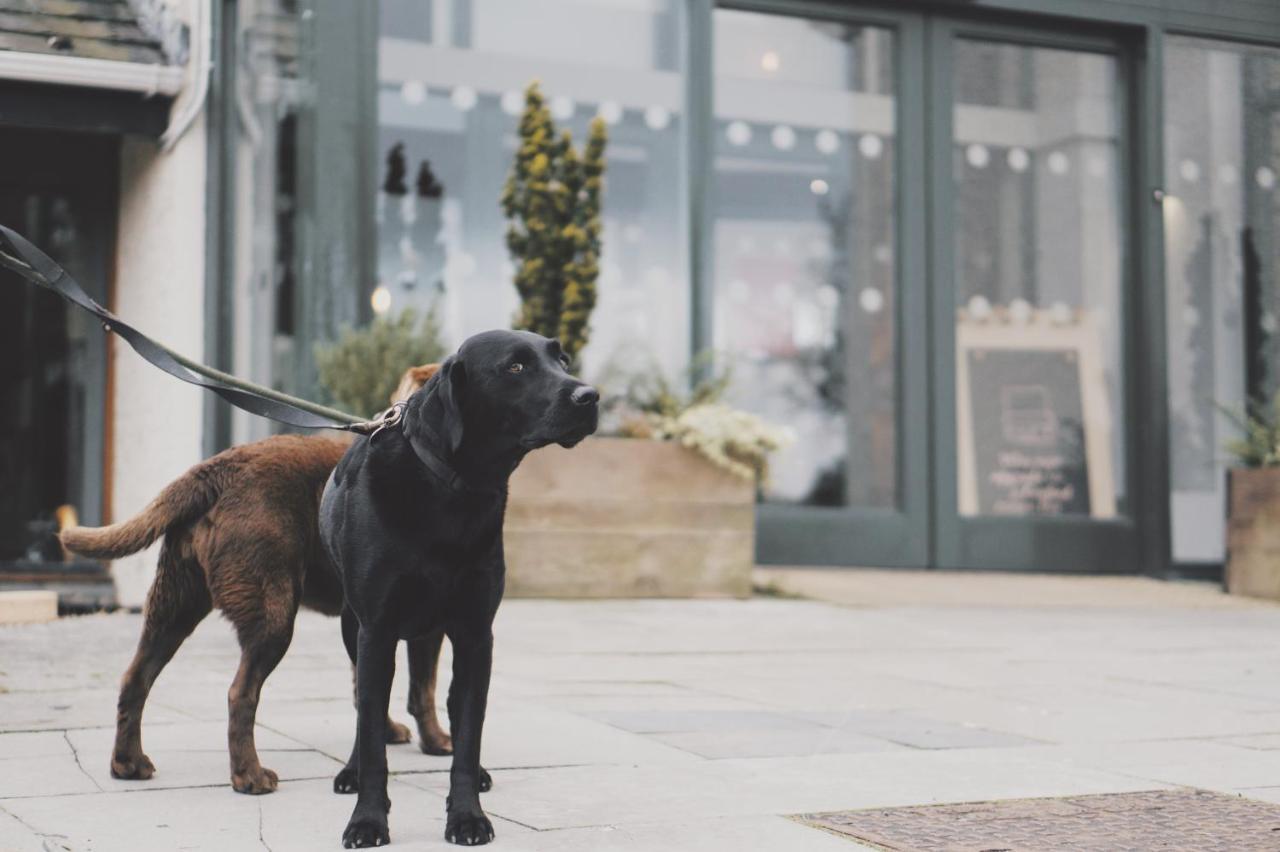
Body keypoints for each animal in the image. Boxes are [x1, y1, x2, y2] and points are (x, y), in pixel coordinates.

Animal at [62, 363, 448, 788]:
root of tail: (214, 471)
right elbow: (423, 688)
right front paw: (437, 742)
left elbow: (371, 687)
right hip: (272, 613)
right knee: (240, 693)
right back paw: (250, 776)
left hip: (173, 604)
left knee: (136, 679)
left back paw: (128, 763)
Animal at [320, 330, 599, 844]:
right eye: (515, 367)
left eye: (563, 359)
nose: (590, 396)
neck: (454, 489)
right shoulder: (377, 631)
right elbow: (371, 732)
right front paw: (368, 820)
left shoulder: (475, 633)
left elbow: (469, 731)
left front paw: (467, 815)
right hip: (353, 627)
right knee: (363, 706)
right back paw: (349, 770)